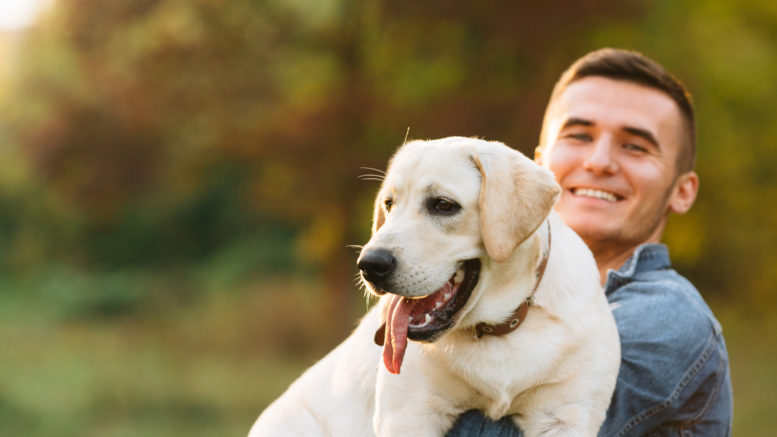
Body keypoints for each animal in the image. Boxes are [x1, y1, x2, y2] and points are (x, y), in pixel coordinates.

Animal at [249, 137, 620, 436]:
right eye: (388, 204)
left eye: (443, 204)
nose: (369, 265)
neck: (497, 329)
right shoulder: (409, 412)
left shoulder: (568, 414)